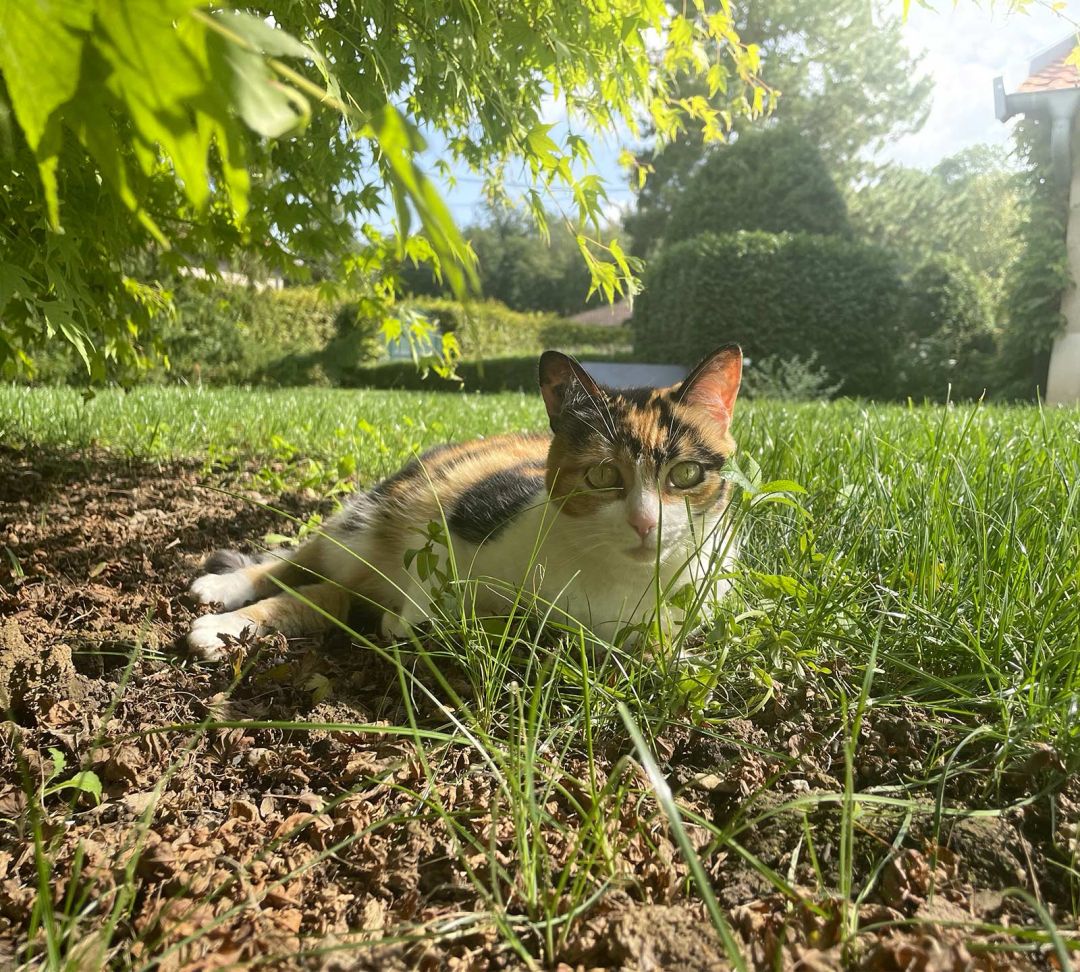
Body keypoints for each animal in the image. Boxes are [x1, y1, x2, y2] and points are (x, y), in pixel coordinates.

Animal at [187, 343, 743, 660]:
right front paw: (411, 620)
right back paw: (219, 603)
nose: (646, 522)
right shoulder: (462, 520)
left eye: (686, 474)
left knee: (323, 596)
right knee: (299, 562)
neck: (618, 584)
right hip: (367, 518)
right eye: (604, 473)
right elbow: (430, 585)